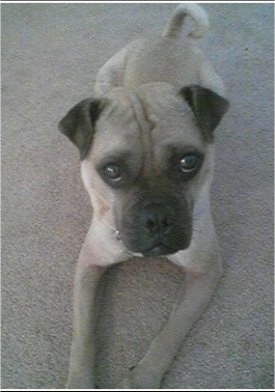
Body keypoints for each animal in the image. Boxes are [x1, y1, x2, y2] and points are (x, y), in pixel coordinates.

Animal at [58, 3, 231, 388]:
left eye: (188, 162)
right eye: (111, 171)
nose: (157, 218)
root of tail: (167, 38)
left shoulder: (204, 275)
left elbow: (170, 332)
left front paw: (143, 377)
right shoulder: (89, 266)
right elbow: (82, 333)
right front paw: (79, 379)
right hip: (105, 77)